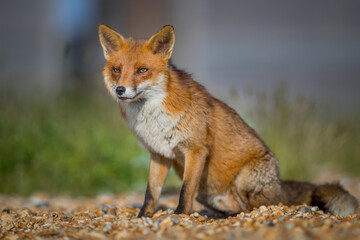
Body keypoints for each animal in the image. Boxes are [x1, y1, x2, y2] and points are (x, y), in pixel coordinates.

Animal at [97, 24, 358, 218]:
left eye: (142, 70)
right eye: (117, 70)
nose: (120, 90)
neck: (151, 117)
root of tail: (280, 184)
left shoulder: (196, 150)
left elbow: (184, 191)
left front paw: (180, 215)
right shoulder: (159, 154)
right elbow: (150, 193)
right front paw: (143, 217)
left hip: (245, 178)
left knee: (258, 207)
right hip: (207, 192)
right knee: (237, 207)